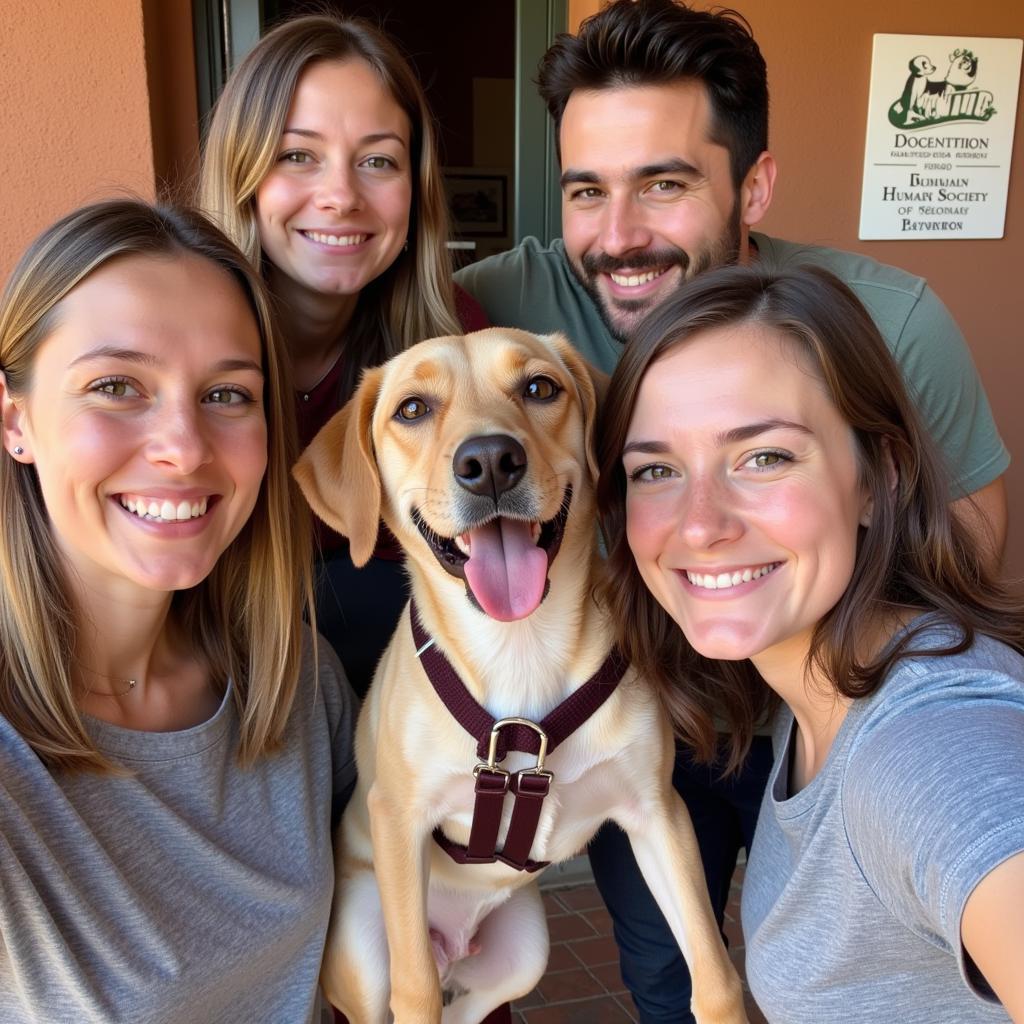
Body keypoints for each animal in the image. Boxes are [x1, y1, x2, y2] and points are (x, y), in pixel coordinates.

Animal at [292, 327, 749, 1024]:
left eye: (539, 387)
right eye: (412, 409)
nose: (488, 461)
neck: (520, 647)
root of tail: (453, 944)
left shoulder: (658, 813)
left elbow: (715, 975)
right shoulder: (399, 818)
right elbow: (415, 990)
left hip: (524, 949)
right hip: (365, 952)